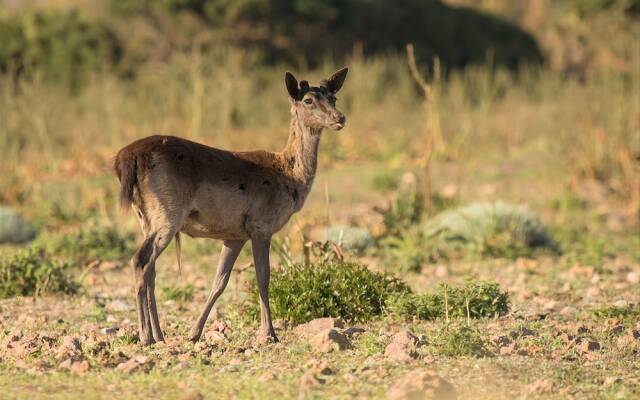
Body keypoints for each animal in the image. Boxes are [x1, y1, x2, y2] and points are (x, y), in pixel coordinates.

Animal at [112, 67, 348, 346]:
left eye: (334, 97)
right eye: (308, 100)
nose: (340, 118)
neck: (291, 178)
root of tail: (125, 159)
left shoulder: (235, 235)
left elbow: (219, 281)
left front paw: (194, 333)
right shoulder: (261, 224)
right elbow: (263, 277)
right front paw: (269, 333)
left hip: (145, 217)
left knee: (151, 269)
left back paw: (159, 335)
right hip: (168, 213)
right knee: (140, 260)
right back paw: (146, 336)